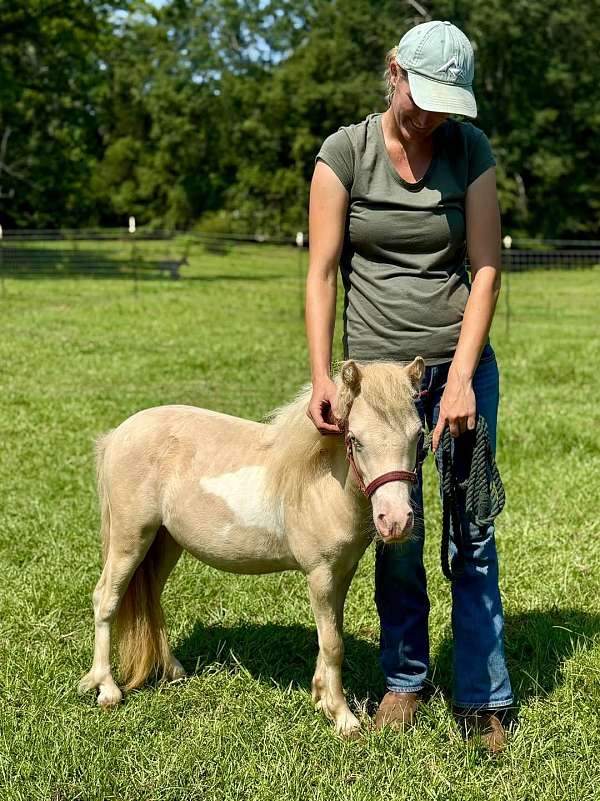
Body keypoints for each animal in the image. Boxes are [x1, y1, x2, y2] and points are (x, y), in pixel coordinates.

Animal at [78, 357, 425, 736]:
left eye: (418, 435)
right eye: (356, 440)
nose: (397, 521)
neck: (320, 481)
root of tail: (117, 436)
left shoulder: (342, 573)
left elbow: (331, 634)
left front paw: (320, 697)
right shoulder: (319, 574)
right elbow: (333, 644)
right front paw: (342, 717)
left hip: (164, 542)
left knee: (151, 598)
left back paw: (173, 671)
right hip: (130, 539)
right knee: (106, 599)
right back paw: (106, 689)